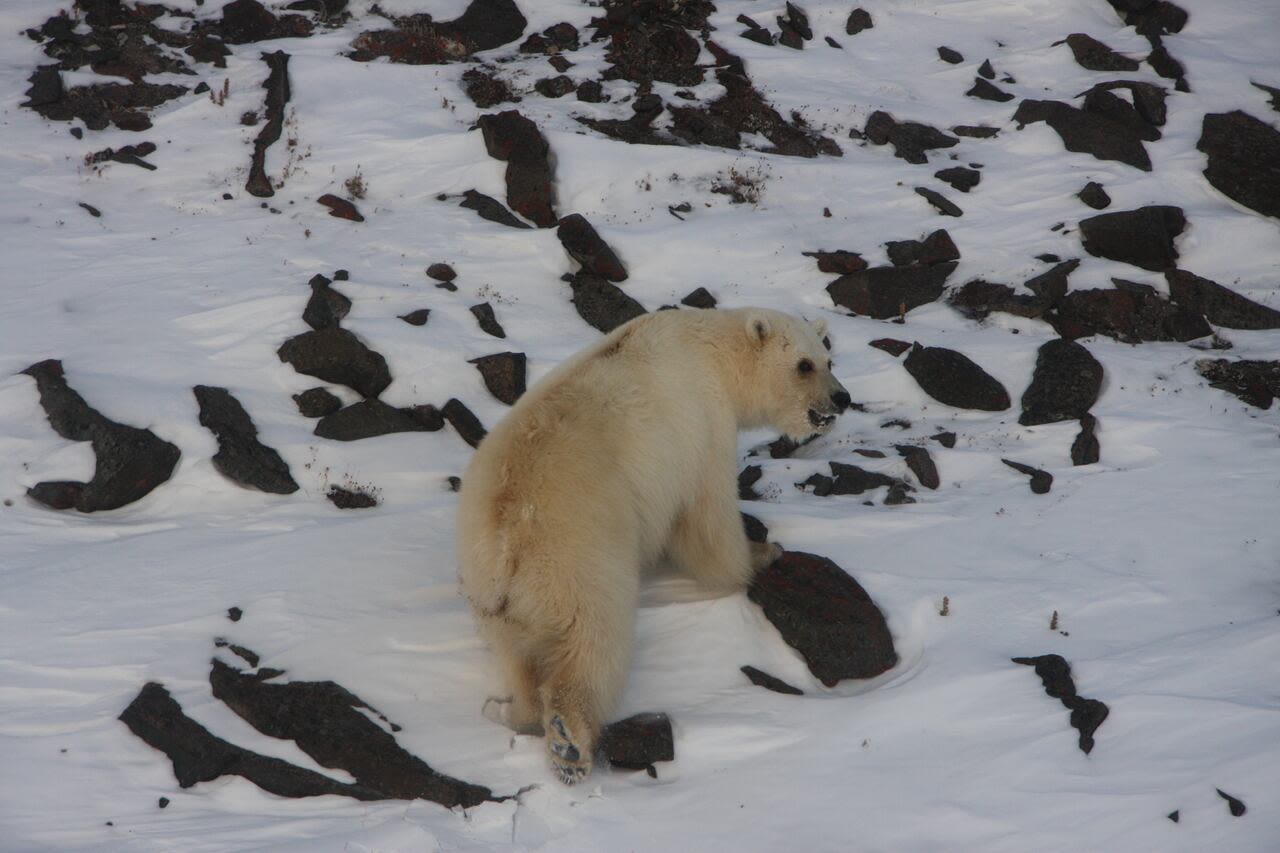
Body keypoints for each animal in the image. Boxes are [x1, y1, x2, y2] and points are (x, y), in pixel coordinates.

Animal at [458, 307, 849, 783]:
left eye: (828, 360)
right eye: (804, 365)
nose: (841, 399)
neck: (711, 348)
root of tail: (504, 542)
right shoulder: (703, 425)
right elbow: (707, 517)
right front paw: (761, 553)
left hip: (494, 596)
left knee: (517, 655)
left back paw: (519, 713)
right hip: (576, 559)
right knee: (595, 640)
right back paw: (570, 744)